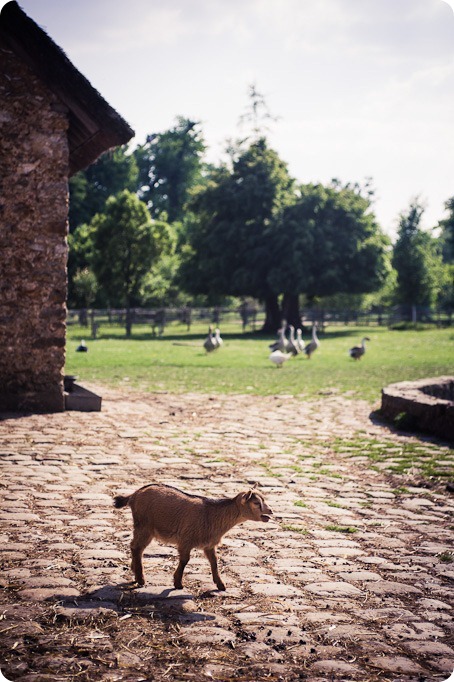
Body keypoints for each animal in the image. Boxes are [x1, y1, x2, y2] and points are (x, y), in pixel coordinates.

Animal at [112, 480, 274, 588]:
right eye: (256, 503)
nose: (270, 511)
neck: (213, 515)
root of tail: (134, 495)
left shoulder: (209, 545)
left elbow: (214, 562)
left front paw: (220, 584)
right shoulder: (186, 540)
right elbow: (185, 560)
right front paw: (178, 583)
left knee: (135, 547)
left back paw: (135, 572)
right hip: (144, 526)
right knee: (137, 547)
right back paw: (140, 579)